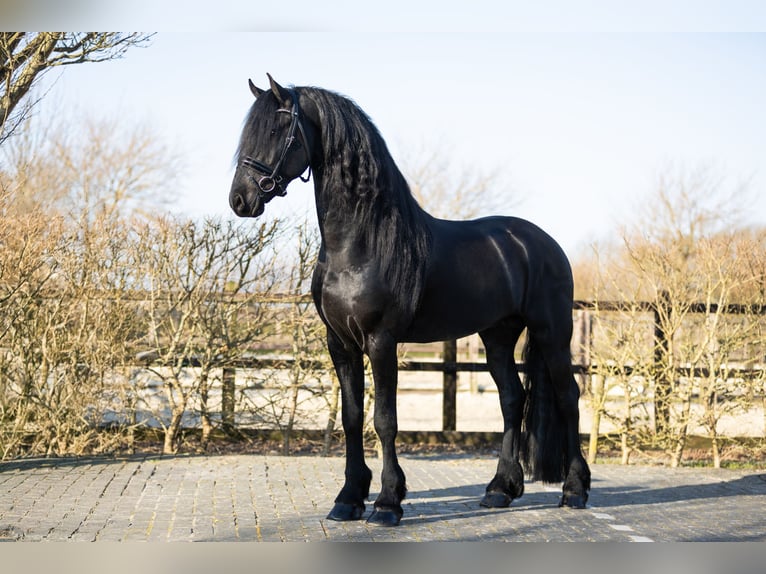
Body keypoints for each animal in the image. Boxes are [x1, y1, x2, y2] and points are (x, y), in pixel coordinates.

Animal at [231, 74, 592, 528]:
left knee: (568, 397)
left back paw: (574, 490)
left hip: (551, 331)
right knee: (512, 400)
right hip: (497, 336)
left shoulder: (381, 341)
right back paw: (499, 490)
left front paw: (387, 502)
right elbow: (352, 417)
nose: (240, 200)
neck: (360, 243)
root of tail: (542, 242)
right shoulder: (340, 344)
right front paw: (348, 499)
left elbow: (384, 420)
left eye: (280, 131)